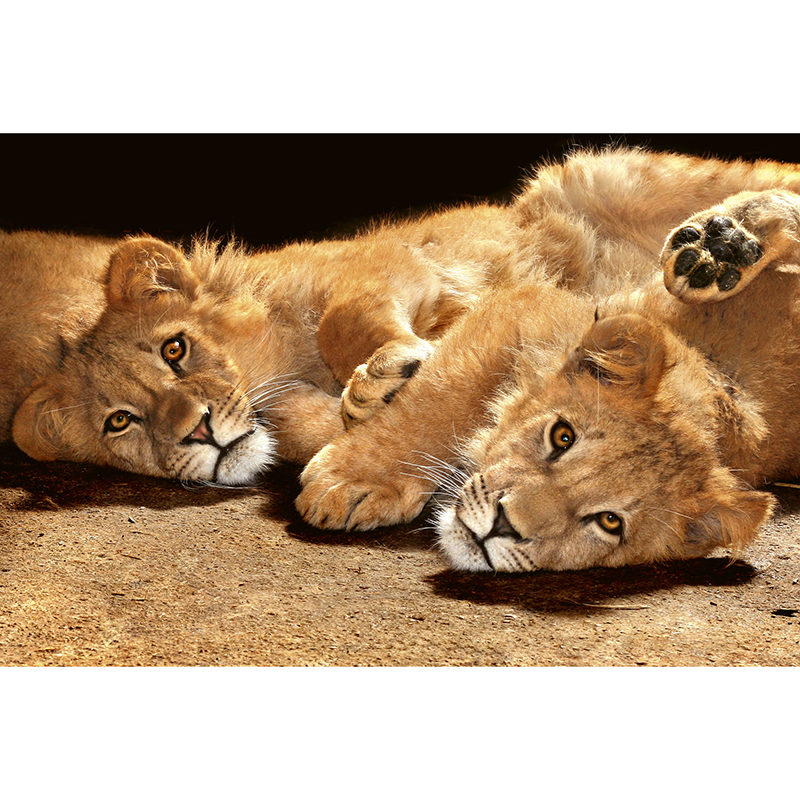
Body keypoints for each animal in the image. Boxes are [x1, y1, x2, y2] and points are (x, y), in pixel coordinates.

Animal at [295, 160, 800, 573]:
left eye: (609, 522)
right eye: (563, 438)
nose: (503, 526)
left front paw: (354, 472)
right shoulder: (523, 301)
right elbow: (428, 392)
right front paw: (359, 455)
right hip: (605, 177)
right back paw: (721, 246)